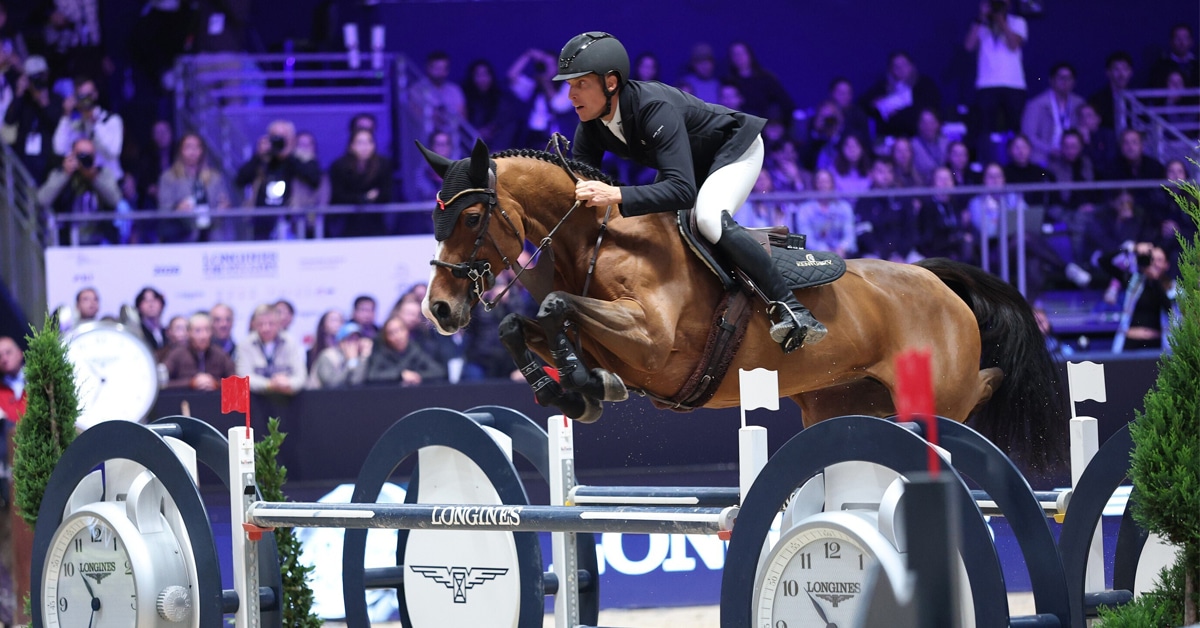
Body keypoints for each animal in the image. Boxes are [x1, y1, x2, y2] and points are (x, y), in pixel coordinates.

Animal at [418, 139, 1066, 469]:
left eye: (470, 218)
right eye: (435, 217)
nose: (440, 311)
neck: (600, 240)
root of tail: (937, 281)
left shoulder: (652, 344)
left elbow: (555, 305)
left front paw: (580, 386)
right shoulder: (612, 341)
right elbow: (521, 323)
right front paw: (575, 389)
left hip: (936, 391)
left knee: (979, 385)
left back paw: (999, 382)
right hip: (843, 402)